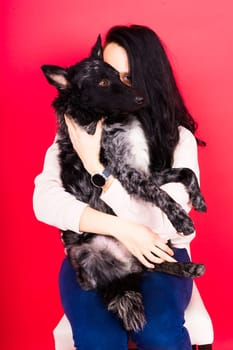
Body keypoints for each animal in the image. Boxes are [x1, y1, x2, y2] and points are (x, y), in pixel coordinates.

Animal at [41, 37, 206, 332]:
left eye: (120, 76)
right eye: (102, 82)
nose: (141, 98)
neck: (110, 120)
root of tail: (121, 271)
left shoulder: (145, 170)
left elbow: (186, 172)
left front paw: (197, 199)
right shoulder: (127, 174)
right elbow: (161, 195)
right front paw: (182, 220)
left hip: (151, 246)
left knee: (152, 263)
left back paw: (188, 268)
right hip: (86, 255)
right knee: (140, 267)